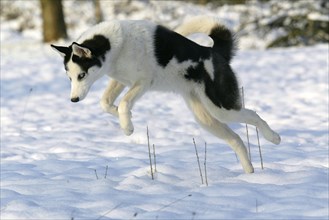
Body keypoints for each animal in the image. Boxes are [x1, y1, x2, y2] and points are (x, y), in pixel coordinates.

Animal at [51, 15, 280, 174]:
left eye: (81, 75)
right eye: (69, 78)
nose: (74, 100)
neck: (116, 46)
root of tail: (215, 52)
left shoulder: (143, 83)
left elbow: (124, 103)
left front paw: (127, 127)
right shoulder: (121, 80)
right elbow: (105, 103)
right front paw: (123, 118)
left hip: (221, 108)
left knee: (254, 116)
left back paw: (273, 137)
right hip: (206, 118)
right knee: (237, 139)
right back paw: (249, 172)